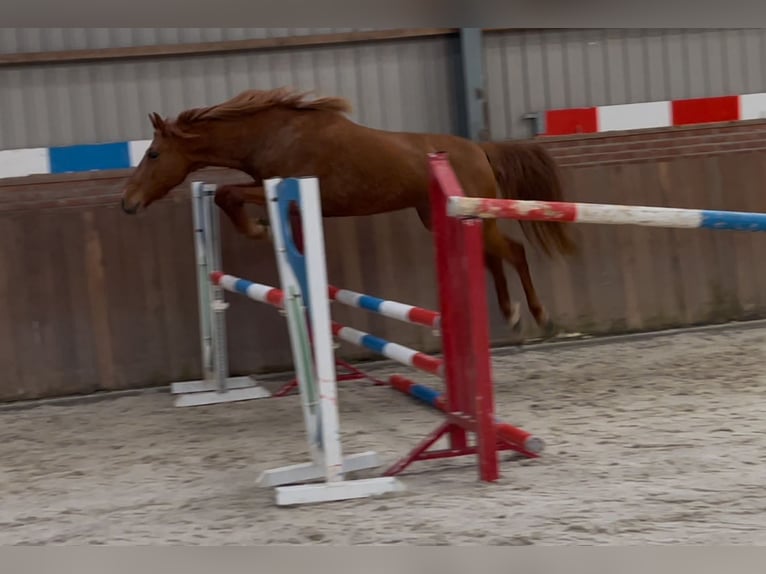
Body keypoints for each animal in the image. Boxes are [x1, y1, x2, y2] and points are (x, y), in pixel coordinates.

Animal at [120, 86, 576, 338]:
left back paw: (539, 316)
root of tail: (480, 149)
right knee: (493, 258)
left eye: (154, 153)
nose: (128, 202)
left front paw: (259, 229)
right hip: (443, 217)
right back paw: (511, 314)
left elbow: (229, 195)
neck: (272, 134)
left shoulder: (280, 189)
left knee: (513, 252)